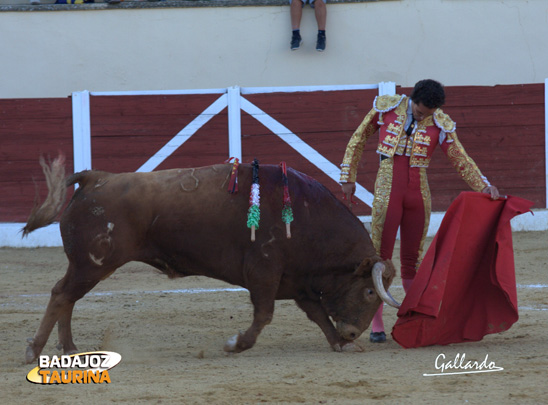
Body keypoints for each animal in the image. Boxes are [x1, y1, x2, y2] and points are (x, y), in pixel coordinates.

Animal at [22, 155, 398, 362]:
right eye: (369, 292)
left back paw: (69, 348)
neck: (307, 216)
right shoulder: (264, 272)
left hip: (85, 266)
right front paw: (235, 344)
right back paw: (36, 350)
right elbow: (264, 315)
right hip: (93, 264)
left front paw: (338, 345)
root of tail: (94, 178)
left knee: (66, 296)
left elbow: (317, 314)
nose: (353, 333)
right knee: (62, 295)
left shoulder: (296, 281)